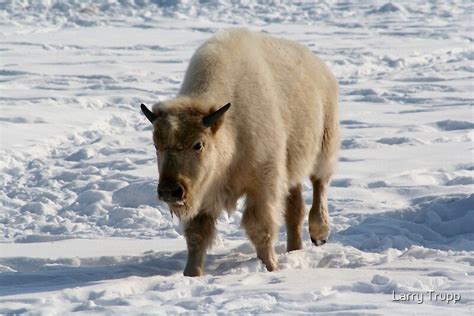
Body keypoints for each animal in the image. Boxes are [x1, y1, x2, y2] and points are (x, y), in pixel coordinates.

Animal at [139, 29, 338, 276]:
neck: (229, 128)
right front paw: (192, 274)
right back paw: (294, 249)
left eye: (198, 144)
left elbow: (259, 228)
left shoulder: (263, 185)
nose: (170, 191)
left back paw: (319, 234)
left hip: (324, 148)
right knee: (295, 209)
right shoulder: (203, 191)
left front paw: (271, 267)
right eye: (156, 145)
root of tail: (319, 67)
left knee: (319, 186)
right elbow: (197, 234)